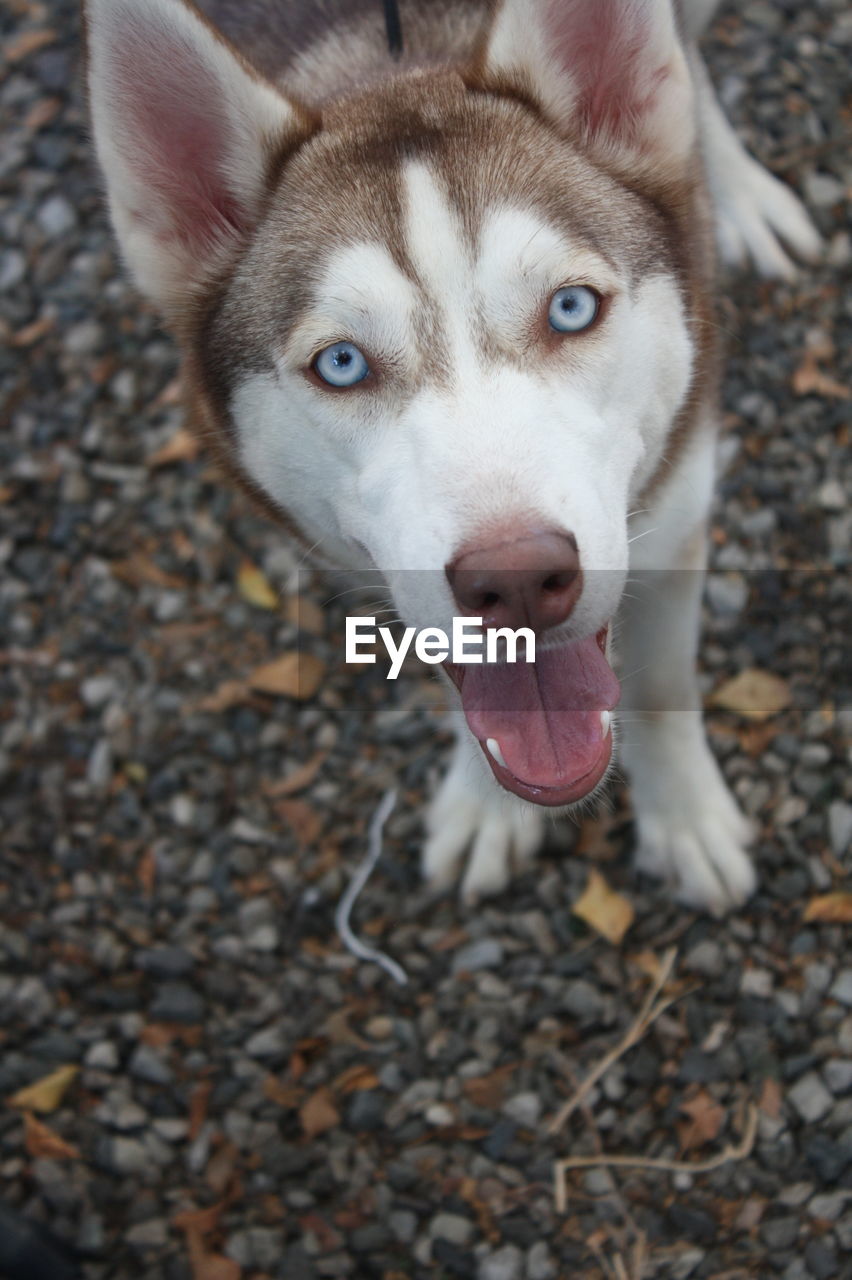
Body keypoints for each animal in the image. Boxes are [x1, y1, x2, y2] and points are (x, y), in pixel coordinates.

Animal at [86, 2, 818, 921]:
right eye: (342, 364)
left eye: (570, 308)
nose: (516, 579)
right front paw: (486, 804)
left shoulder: (680, 515)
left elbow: (660, 685)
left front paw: (684, 819)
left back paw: (740, 194)